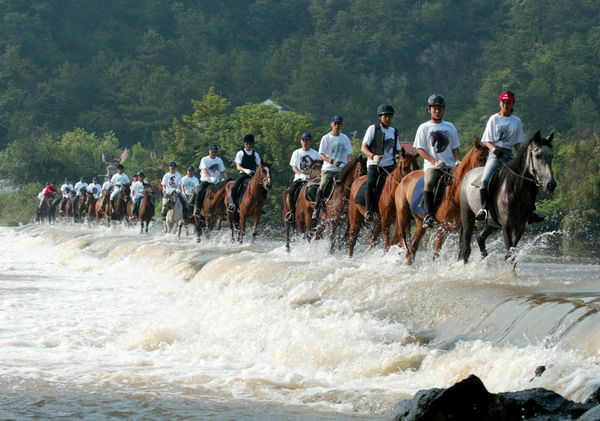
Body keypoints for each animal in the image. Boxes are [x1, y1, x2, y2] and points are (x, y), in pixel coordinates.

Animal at [460, 131, 556, 262]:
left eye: (551, 156)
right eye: (538, 156)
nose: (551, 185)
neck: (516, 189)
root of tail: (468, 174)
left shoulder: (520, 226)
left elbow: (512, 253)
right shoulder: (506, 226)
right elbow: (509, 253)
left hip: (491, 223)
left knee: (480, 238)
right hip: (467, 218)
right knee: (466, 249)